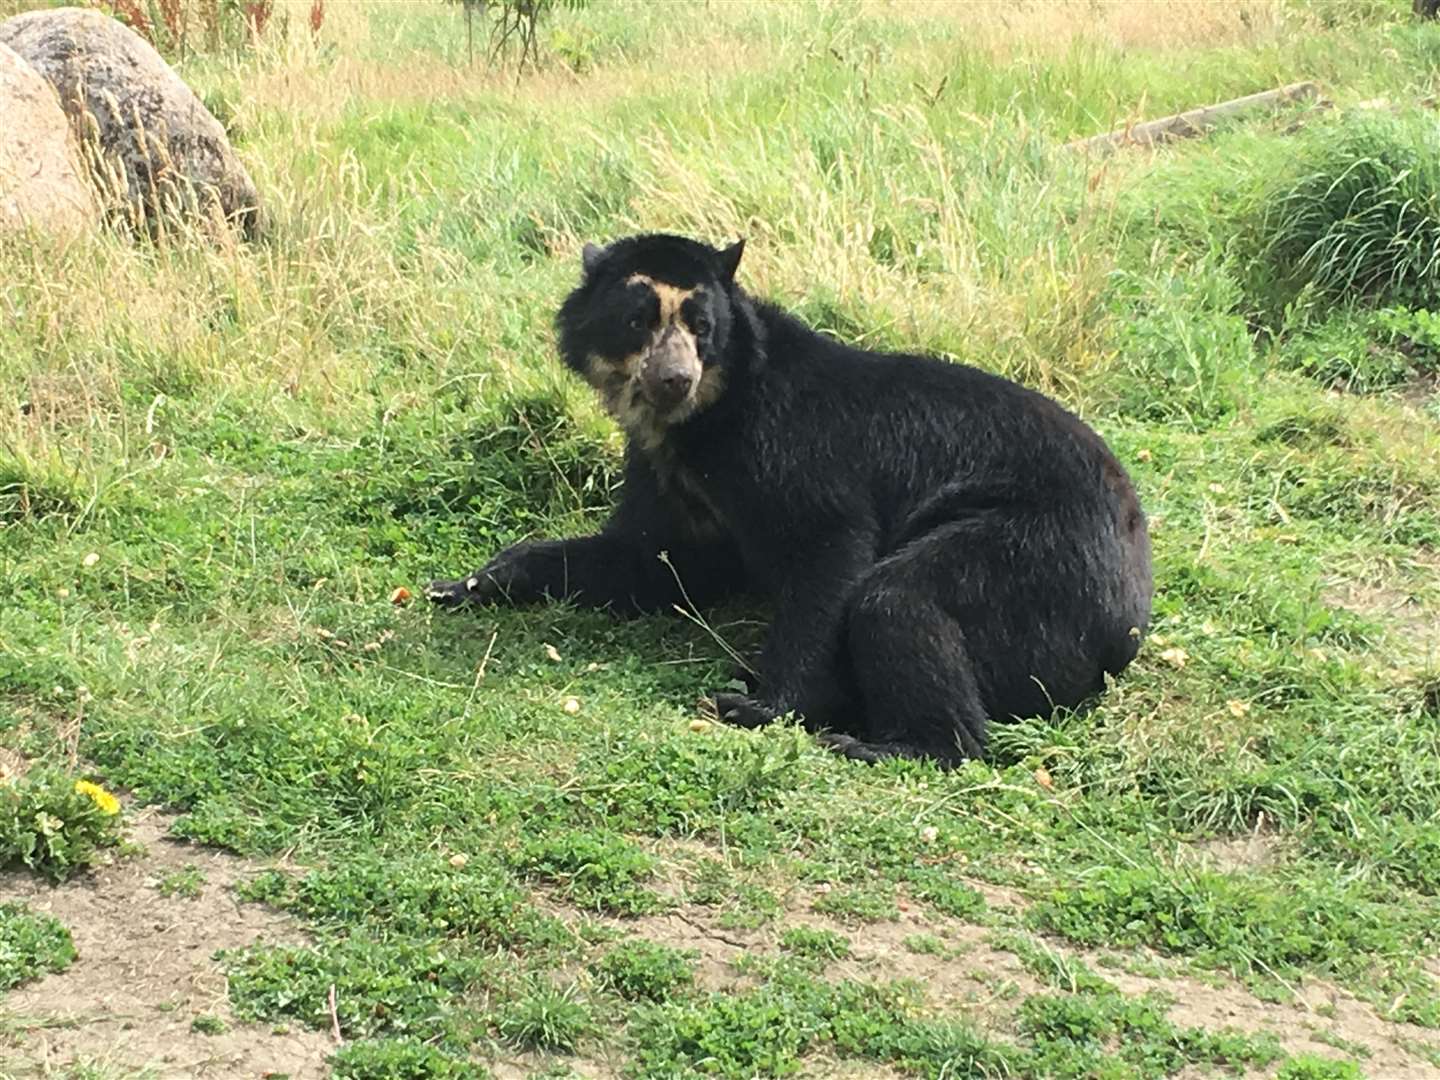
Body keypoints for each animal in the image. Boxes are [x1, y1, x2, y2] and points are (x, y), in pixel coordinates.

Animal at [429, 233, 1157, 766]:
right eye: (637, 320)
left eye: (701, 325)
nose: (673, 379)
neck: (703, 423)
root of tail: (1126, 631)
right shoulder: (670, 476)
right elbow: (656, 559)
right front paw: (468, 582)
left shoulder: (791, 451)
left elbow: (827, 552)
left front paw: (756, 704)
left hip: (1036, 559)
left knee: (901, 599)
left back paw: (881, 742)